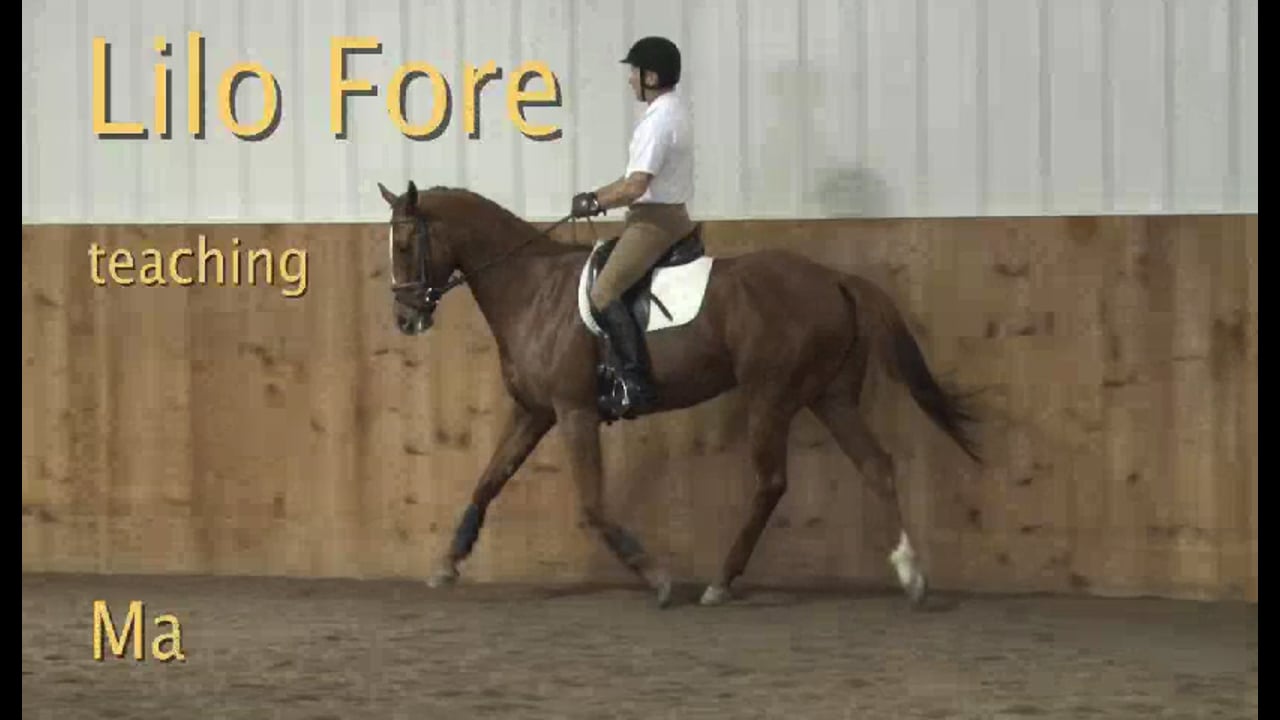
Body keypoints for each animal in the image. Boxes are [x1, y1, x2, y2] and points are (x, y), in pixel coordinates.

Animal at [377, 180, 982, 609]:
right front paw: (448, 563)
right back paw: (910, 574)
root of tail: (835, 278)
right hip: (830, 397)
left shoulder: (573, 412)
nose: (406, 318)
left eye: (405, 243)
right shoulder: (534, 411)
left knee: (772, 482)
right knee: (876, 465)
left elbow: (592, 503)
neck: (533, 291)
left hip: (771, 395)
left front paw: (656, 577)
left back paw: (720, 581)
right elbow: (488, 479)